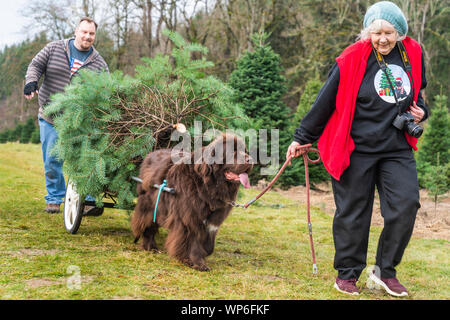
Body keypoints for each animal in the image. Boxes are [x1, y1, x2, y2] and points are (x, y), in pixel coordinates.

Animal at [132, 134, 255, 272]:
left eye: (244, 150)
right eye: (232, 151)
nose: (251, 159)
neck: (208, 186)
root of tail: (151, 154)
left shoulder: (213, 220)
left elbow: (209, 245)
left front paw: (202, 254)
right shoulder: (191, 217)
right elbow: (193, 241)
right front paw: (197, 263)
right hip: (150, 204)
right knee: (147, 224)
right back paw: (150, 247)